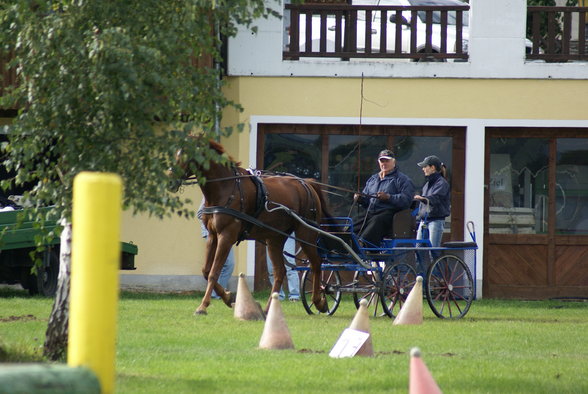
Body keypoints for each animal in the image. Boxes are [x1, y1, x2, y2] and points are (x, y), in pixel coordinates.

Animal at [169, 140, 330, 316]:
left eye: (186, 155)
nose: (170, 181)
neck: (226, 185)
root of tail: (307, 183)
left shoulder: (226, 236)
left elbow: (213, 272)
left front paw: (203, 306)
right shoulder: (213, 235)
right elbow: (206, 270)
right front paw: (228, 297)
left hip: (306, 233)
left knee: (316, 263)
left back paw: (319, 301)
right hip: (275, 239)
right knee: (280, 271)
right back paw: (268, 309)